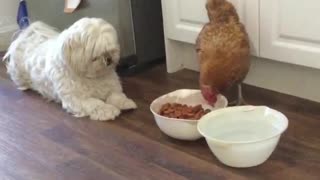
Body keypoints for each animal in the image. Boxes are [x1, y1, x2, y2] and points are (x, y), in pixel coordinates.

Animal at [3, 17, 136, 121]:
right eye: (95, 56)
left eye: (112, 50)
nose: (109, 59)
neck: (91, 77)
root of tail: (26, 36)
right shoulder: (76, 99)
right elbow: (95, 103)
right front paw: (106, 110)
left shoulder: (112, 86)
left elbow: (116, 95)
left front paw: (125, 103)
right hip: (18, 73)